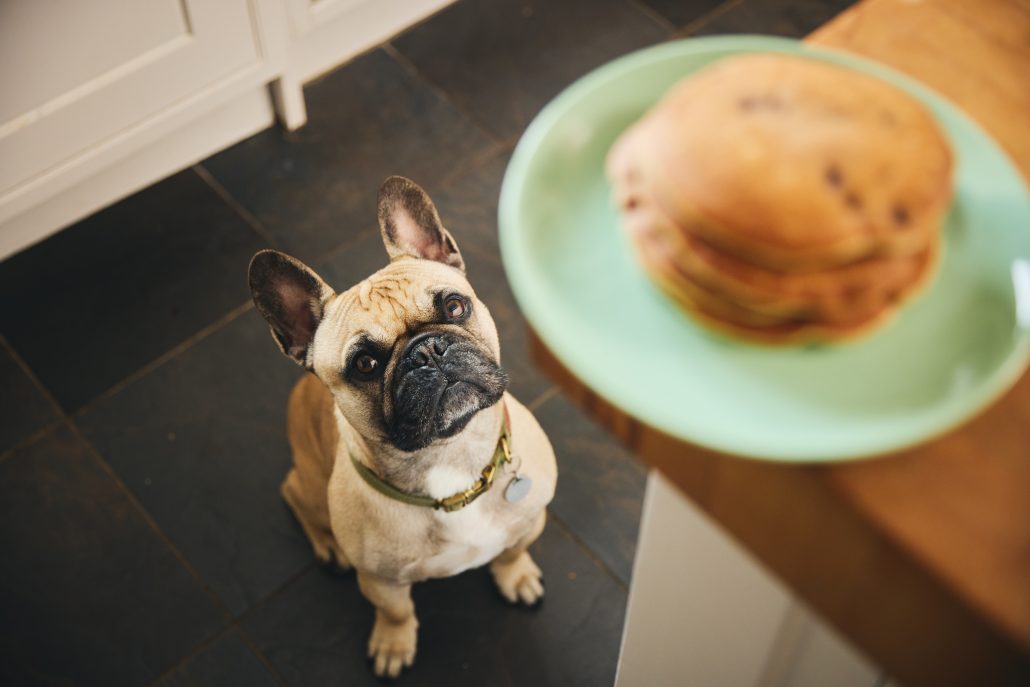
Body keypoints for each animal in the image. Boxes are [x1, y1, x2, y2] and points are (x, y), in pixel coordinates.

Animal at [247, 176, 556, 675]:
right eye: (365, 364)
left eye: (455, 307)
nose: (427, 351)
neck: (451, 456)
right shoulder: (379, 581)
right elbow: (396, 611)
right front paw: (393, 645)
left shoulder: (530, 520)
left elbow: (512, 550)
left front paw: (517, 576)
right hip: (310, 484)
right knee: (292, 491)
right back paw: (327, 546)